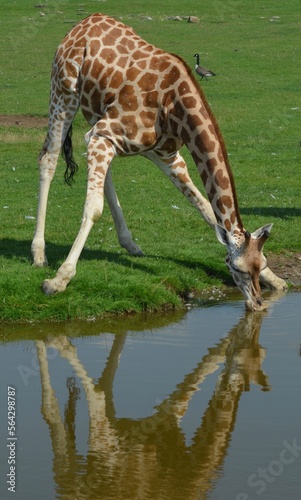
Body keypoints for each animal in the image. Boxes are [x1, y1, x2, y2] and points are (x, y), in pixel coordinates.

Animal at [31, 12, 286, 308]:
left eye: (260, 263)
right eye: (238, 269)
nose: (257, 303)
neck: (174, 107)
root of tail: (84, 22)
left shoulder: (166, 155)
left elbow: (206, 208)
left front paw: (276, 280)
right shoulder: (107, 134)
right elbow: (93, 208)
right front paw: (58, 280)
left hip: (95, 115)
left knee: (102, 171)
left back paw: (130, 244)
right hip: (63, 94)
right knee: (48, 158)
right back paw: (39, 255)